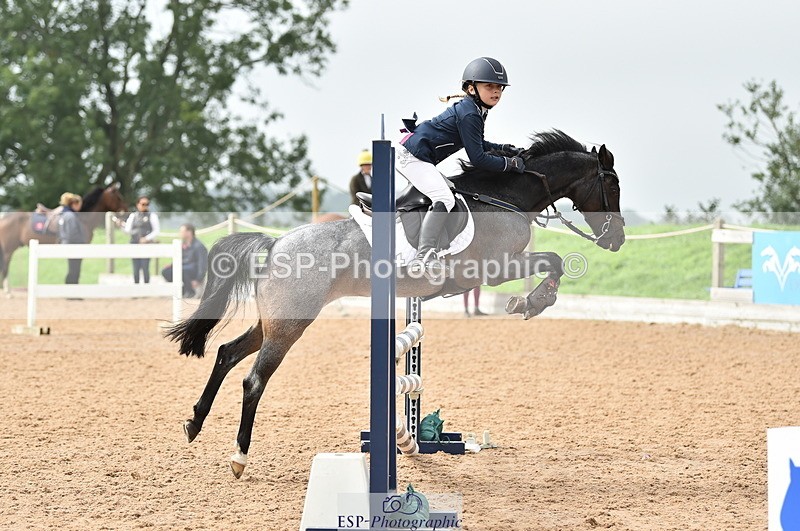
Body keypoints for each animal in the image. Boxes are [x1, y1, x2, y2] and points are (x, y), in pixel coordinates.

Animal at [166, 130, 626, 478]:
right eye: (613, 185)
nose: (617, 240)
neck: (503, 198)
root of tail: (275, 242)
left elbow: (553, 262)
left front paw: (532, 301)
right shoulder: (492, 269)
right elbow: (554, 261)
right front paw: (532, 302)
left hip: (273, 322)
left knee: (226, 354)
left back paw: (194, 422)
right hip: (290, 325)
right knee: (253, 380)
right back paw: (238, 457)